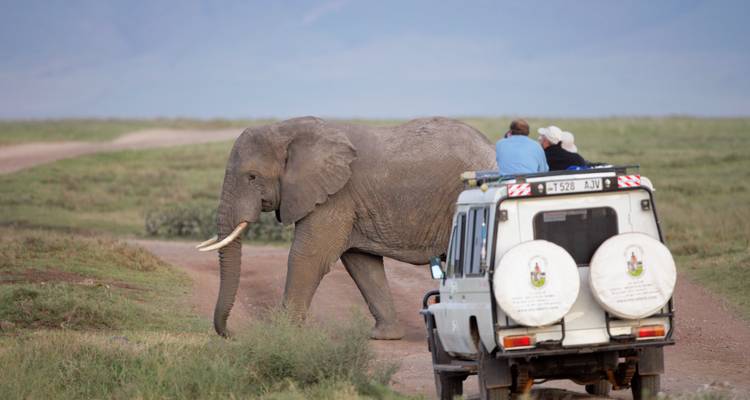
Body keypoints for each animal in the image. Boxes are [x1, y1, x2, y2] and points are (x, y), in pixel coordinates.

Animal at [197, 116, 496, 339]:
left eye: (252, 177)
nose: (231, 334)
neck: (287, 129)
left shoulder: (335, 196)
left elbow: (307, 257)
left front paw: (281, 333)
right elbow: (361, 264)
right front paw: (384, 336)